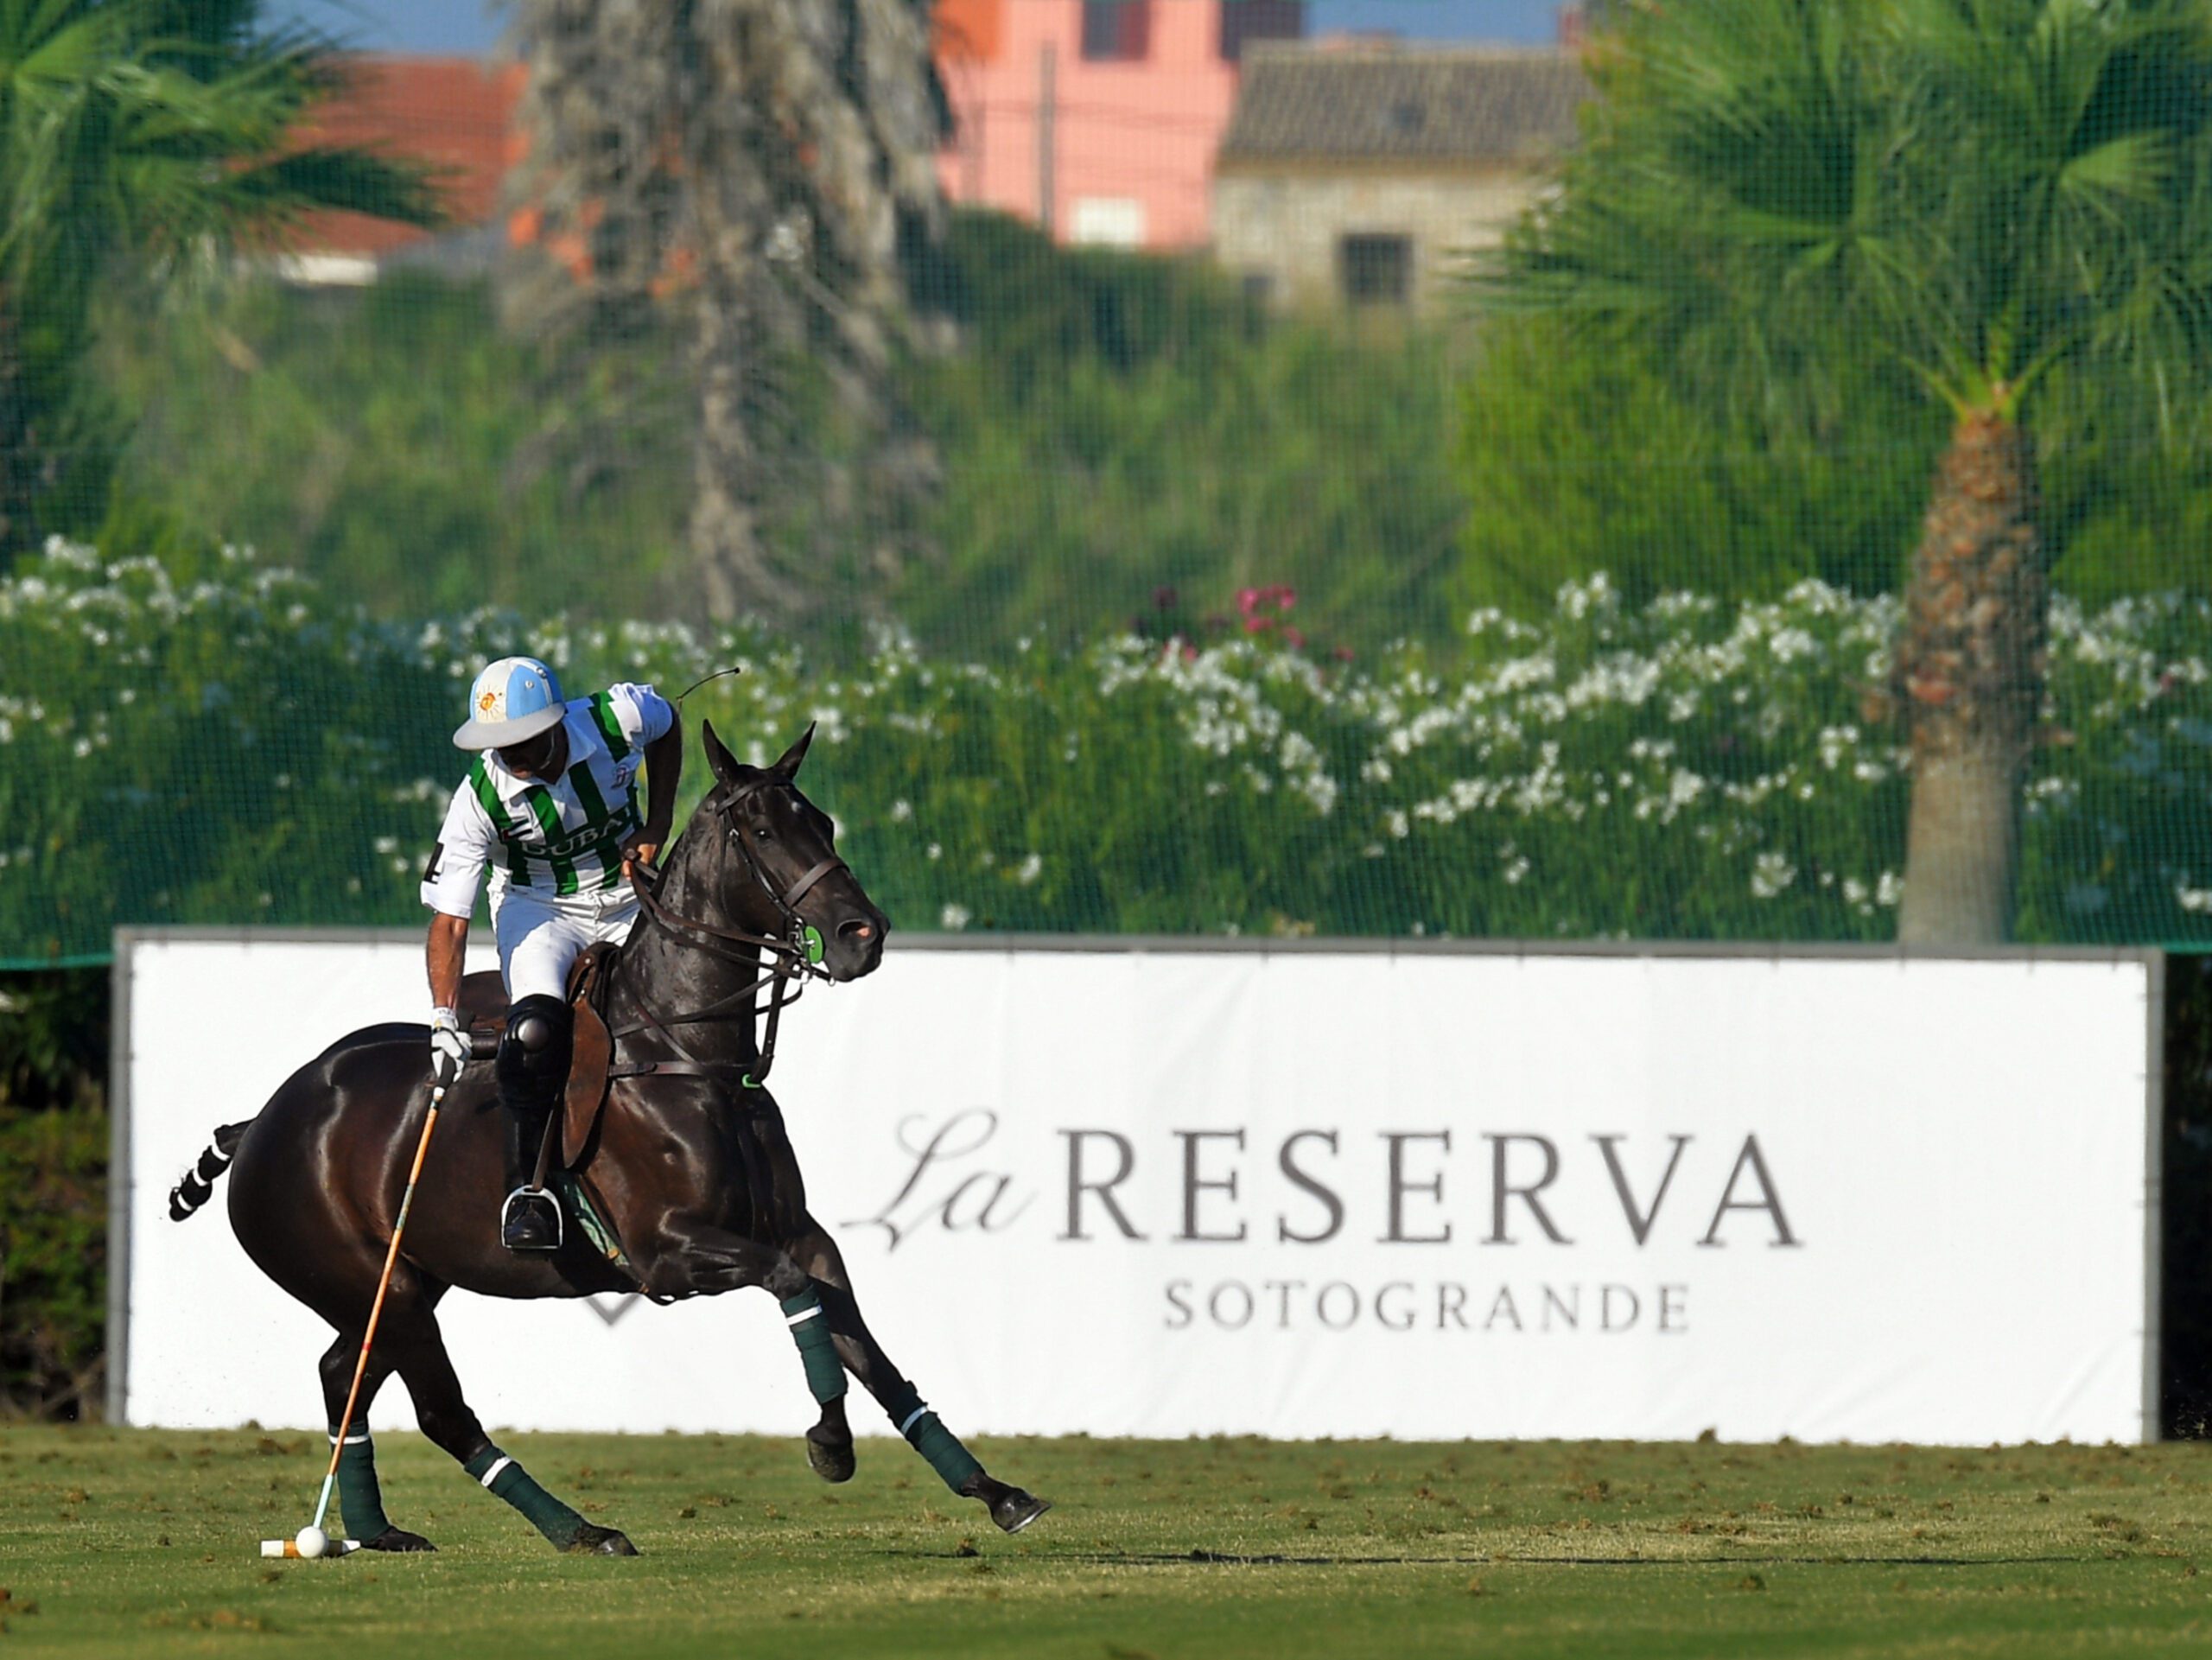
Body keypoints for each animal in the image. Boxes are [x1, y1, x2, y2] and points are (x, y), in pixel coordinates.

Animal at [163, 726, 1044, 1558]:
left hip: (391, 1283)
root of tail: (263, 1122)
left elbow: (866, 1345)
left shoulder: (798, 1230)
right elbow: (796, 1293)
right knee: (442, 1411)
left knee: (343, 1371)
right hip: (384, 1286)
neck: (689, 1053)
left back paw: (376, 1529)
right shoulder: (669, 1252)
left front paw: (996, 1491)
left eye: (821, 821)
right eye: (761, 830)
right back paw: (578, 1528)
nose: (864, 933)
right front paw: (831, 1444)